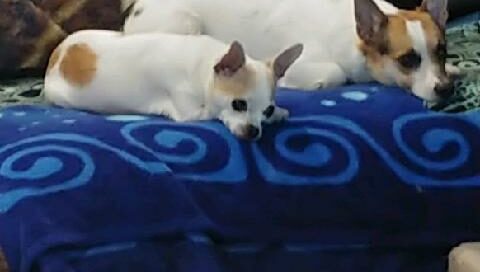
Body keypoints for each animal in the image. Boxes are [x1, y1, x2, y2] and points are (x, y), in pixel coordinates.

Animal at [43, 30, 302, 139]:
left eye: (265, 111)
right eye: (238, 105)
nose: (253, 131)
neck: (203, 66)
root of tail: (58, 53)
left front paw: (279, 112)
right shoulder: (189, 114)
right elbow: (211, 112)